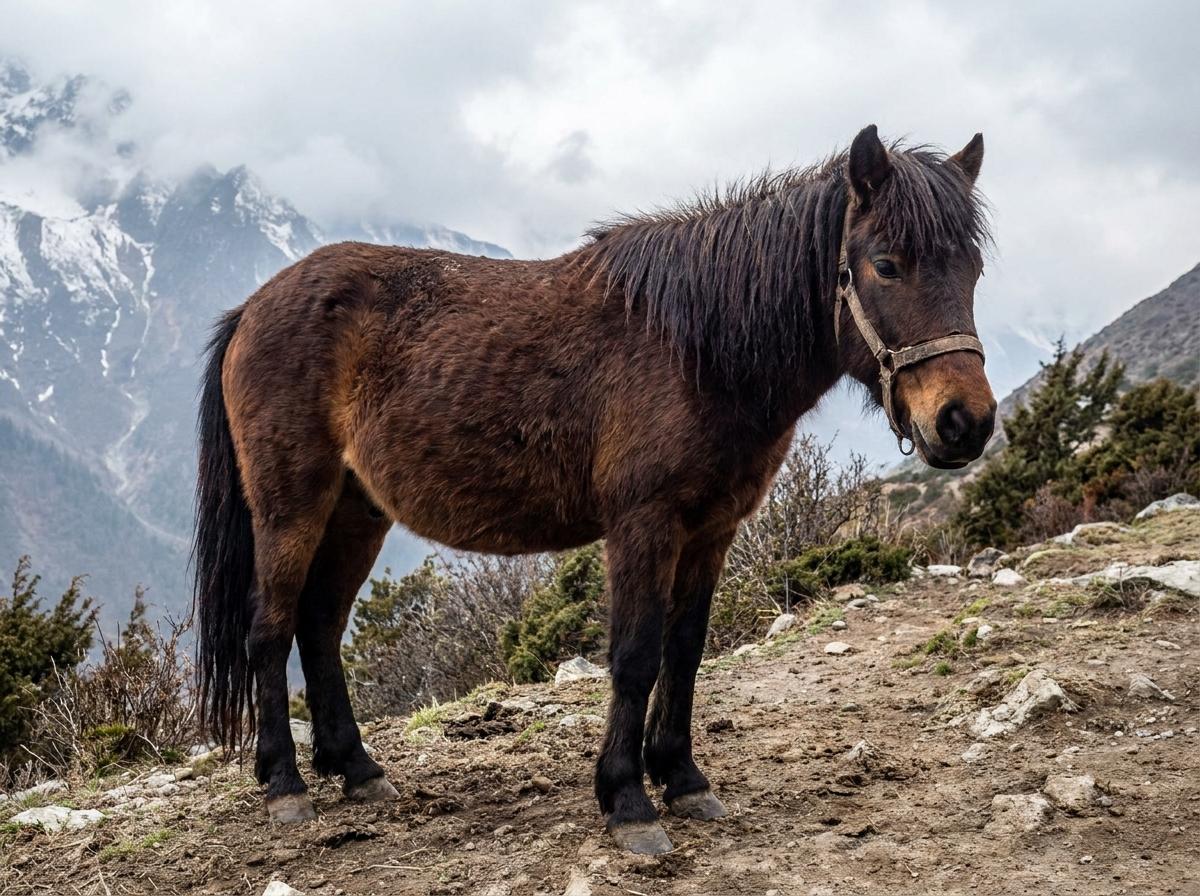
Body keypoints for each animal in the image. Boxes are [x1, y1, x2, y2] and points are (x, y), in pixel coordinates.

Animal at [194, 124, 996, 855]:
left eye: (975, 269)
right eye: (886, 264)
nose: (966, 422)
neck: (696, 347)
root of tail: (252, 308)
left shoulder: (712, 528)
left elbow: (686, 649)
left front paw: (683, 779)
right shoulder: (644, 524)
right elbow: (636, 655)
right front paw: (628, 801)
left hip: (357, 511)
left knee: (319, 625)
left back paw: (357, 770)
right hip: (291, 504)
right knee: (270, 626)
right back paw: (286, 786)